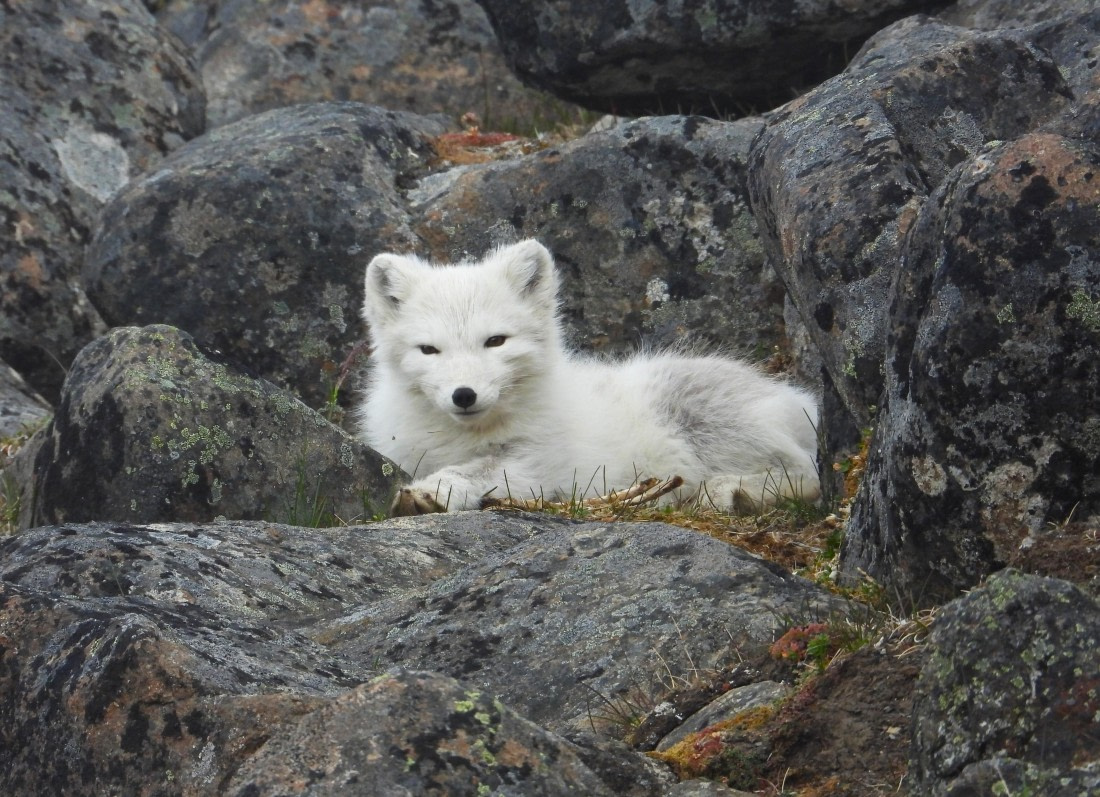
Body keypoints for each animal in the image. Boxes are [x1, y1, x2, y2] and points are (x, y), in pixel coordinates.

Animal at [358, 239, 821, 515]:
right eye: (428, 350)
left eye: (495, 341)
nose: (464, 395)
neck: (463, 436)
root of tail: (796, 397)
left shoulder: (543, 464)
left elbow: (477, 470)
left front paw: (431, 491)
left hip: (706, 418)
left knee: (809, 475)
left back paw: (730, 491)